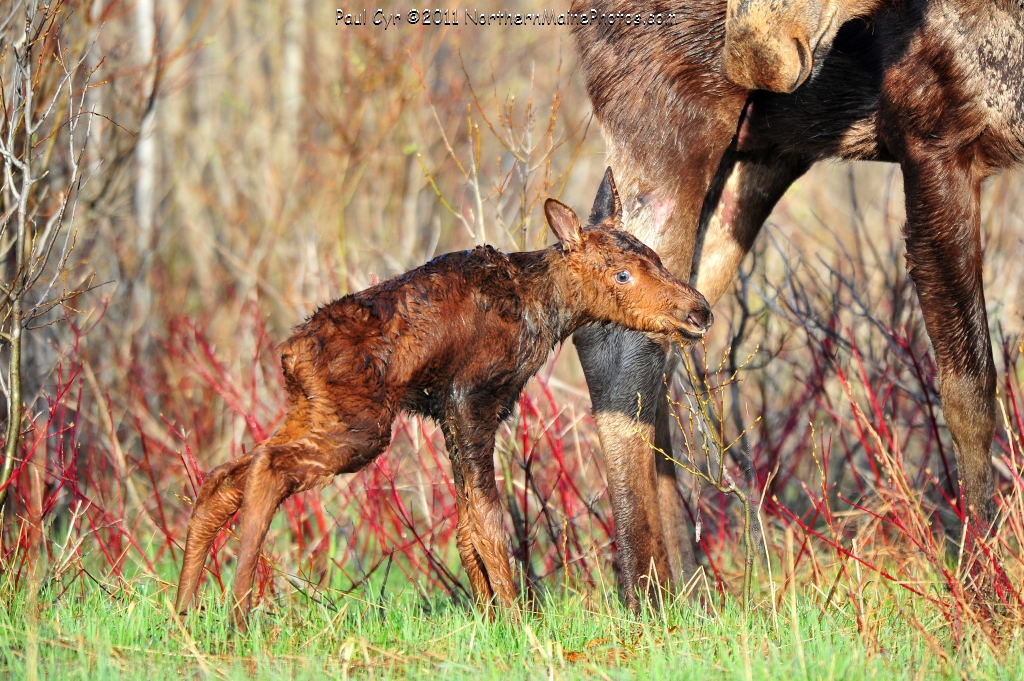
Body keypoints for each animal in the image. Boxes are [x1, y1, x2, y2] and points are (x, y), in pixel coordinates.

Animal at [174, 166, 712, 622]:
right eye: (621, 273)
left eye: (657, 257)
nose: (699, 311)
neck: (548, 313)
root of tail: (289, 355)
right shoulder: (470, 401)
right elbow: (490, 525)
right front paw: (517, 622)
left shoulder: (452, 416)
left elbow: (465, 527)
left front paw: (491, 617)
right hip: (361, 428)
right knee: (267, 470)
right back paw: (236, 613)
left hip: (315, 413)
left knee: (223, 477)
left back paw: (185, 611)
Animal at [573, 0, 1019, 606]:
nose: (753, 53)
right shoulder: (931, 134)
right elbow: (969, 392)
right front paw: (984, 590)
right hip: (671, 116)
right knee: (618, 341)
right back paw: (646, 591)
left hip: (756, 157)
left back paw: (689, 584)